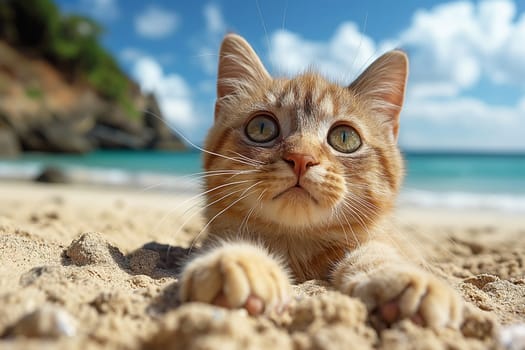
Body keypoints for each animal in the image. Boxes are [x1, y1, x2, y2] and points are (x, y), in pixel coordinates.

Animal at [180, 32, 462, 328]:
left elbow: (376, 252)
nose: (301, 157)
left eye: (345, 138)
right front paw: (238, 260)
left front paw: (401, 278)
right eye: (261, 128)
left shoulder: (378, 240)